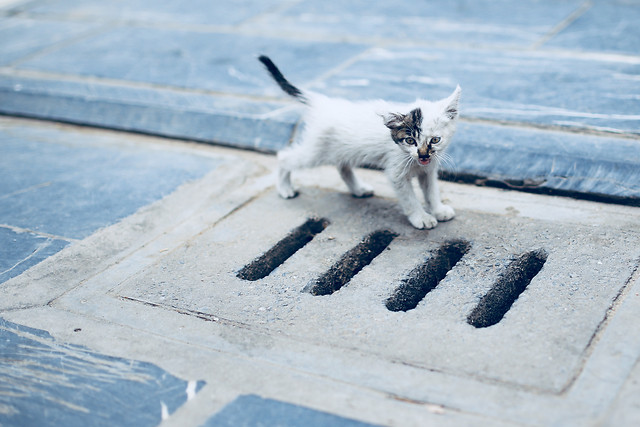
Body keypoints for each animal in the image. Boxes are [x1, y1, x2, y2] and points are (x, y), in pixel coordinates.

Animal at [258, 56, 460, 231]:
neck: (414, 160)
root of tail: (323, 103)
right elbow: (410, 199)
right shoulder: (396, 173)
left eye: (435, 139)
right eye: (410, 140)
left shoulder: (428, 170)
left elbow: (431, 191)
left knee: (343, 167)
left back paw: (358, 189)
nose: (423, 154)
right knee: (285, 157)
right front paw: (421, 217)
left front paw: (438, 209)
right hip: (316, 151)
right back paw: (285, 188)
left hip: (343, 149)